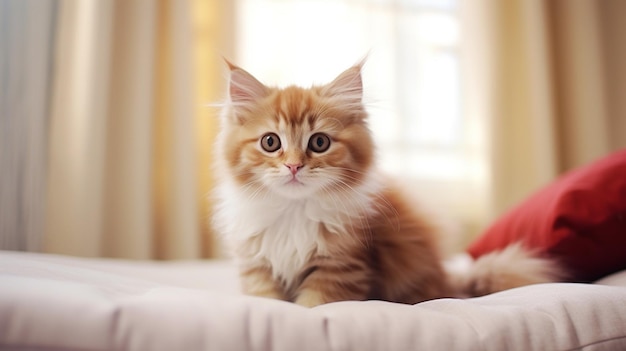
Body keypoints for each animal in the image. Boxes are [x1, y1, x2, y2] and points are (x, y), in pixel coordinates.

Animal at [211, 61, 560, 308]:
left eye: (319, 142)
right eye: (270, 142)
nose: (294, 165)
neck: (293, 212)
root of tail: (449, 280)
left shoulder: (340, 268)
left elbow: (314, 306)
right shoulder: (257, 268)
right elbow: (268, 302)